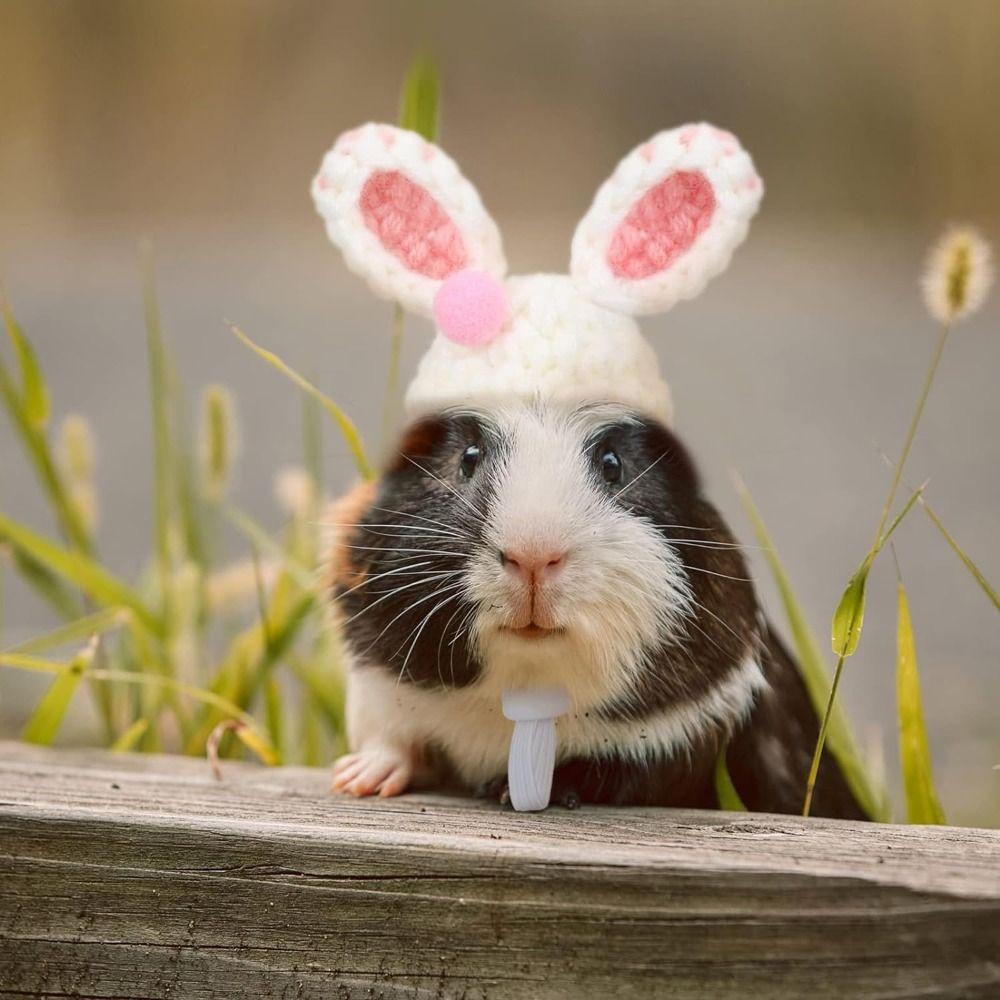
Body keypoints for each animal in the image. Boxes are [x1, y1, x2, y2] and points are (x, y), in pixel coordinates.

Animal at [326, 400, 868, 819]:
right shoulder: (379, 694)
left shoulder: (681, 735)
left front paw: (506, 790)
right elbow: (392, 740)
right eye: (469, 457)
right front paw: (355, 782)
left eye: (612, 464)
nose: (534, 555)